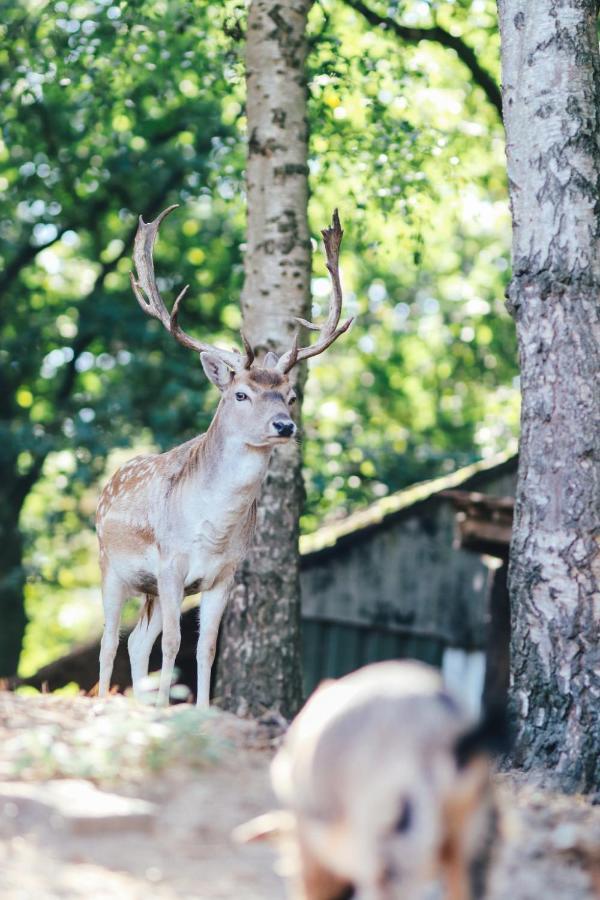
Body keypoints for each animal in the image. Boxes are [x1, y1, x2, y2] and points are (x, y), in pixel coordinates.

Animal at [96, 207, 354, 708]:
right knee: (110, 640)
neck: (212, 532)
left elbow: (207, 648)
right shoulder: (171, 563)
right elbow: (174, 643)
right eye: (240, 394)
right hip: (110, 565)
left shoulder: (223, 575)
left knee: (136, 641)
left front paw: (197, 710)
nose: (284, 426)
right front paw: (166, 710)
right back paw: (105, 703)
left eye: (291, 396)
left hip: (147, 587)